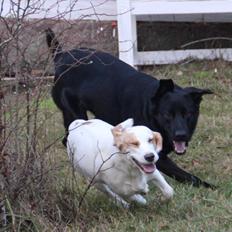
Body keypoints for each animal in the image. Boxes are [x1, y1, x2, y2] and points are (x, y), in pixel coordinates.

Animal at [46, 28, 215, 188]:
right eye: (167, 115)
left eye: (189, 114)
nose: (181, 135)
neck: (149, 109)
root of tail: (61, 55)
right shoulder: (156, 156)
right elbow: (185, 175)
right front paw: (210, 187)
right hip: (74, 113)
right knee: (67, 140)